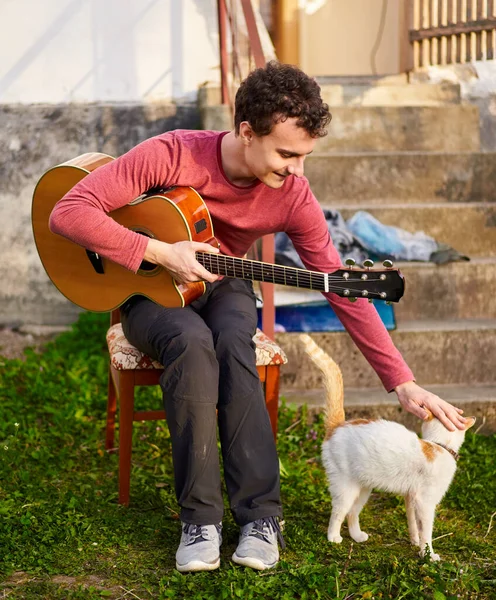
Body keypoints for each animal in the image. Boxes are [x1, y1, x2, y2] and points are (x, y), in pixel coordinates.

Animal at [298, 336, 476, 560]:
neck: (439, 445)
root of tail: (339, 424)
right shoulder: (425, 502)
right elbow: (427, 531)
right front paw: (428, 555)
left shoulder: (411, 498)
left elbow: (413, 524)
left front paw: (415, 543)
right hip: (346, 487)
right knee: (338, 512)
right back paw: (333, 538)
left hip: (363, 488)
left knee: (352, 513)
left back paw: (357, 536)